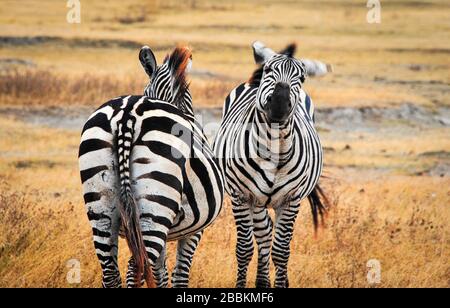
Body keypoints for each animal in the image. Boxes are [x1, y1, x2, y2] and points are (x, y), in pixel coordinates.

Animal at [79, 44, 225, 288]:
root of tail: (127, 114)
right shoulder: (195, 231)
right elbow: (178, 275)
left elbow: (160, 274)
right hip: (155, 207)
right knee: (135, 266)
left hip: (100, 204)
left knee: (111, 272)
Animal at [213, 41, 332, 288]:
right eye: (269, 70)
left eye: (302, 78)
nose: (279, 104)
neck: (274, 149)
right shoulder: (241, 196)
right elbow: (244, 249)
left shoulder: (292, 199)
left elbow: (282, 252)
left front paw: (280, 282)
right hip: (257, 201)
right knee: (264, 233)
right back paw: (262, 281)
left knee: (272, 236)